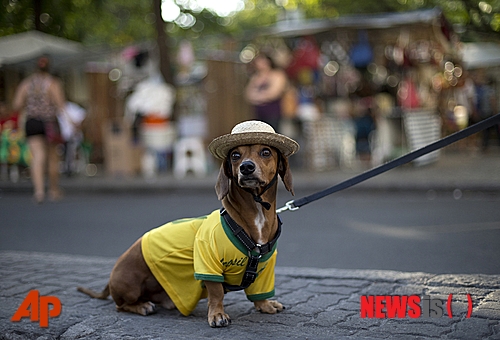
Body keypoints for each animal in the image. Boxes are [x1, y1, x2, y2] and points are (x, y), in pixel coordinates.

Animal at [77, 121, 296, 326]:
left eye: (265, 151)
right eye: (235, 155)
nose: (246, 167)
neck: (255, 214)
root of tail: (111, 277)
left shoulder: (264, 269)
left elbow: (259, 292)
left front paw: (265, 305)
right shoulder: (208, 265)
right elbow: (217, 293)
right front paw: (217, 314)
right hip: (129, 285)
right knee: (120, 305)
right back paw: (141, 306)